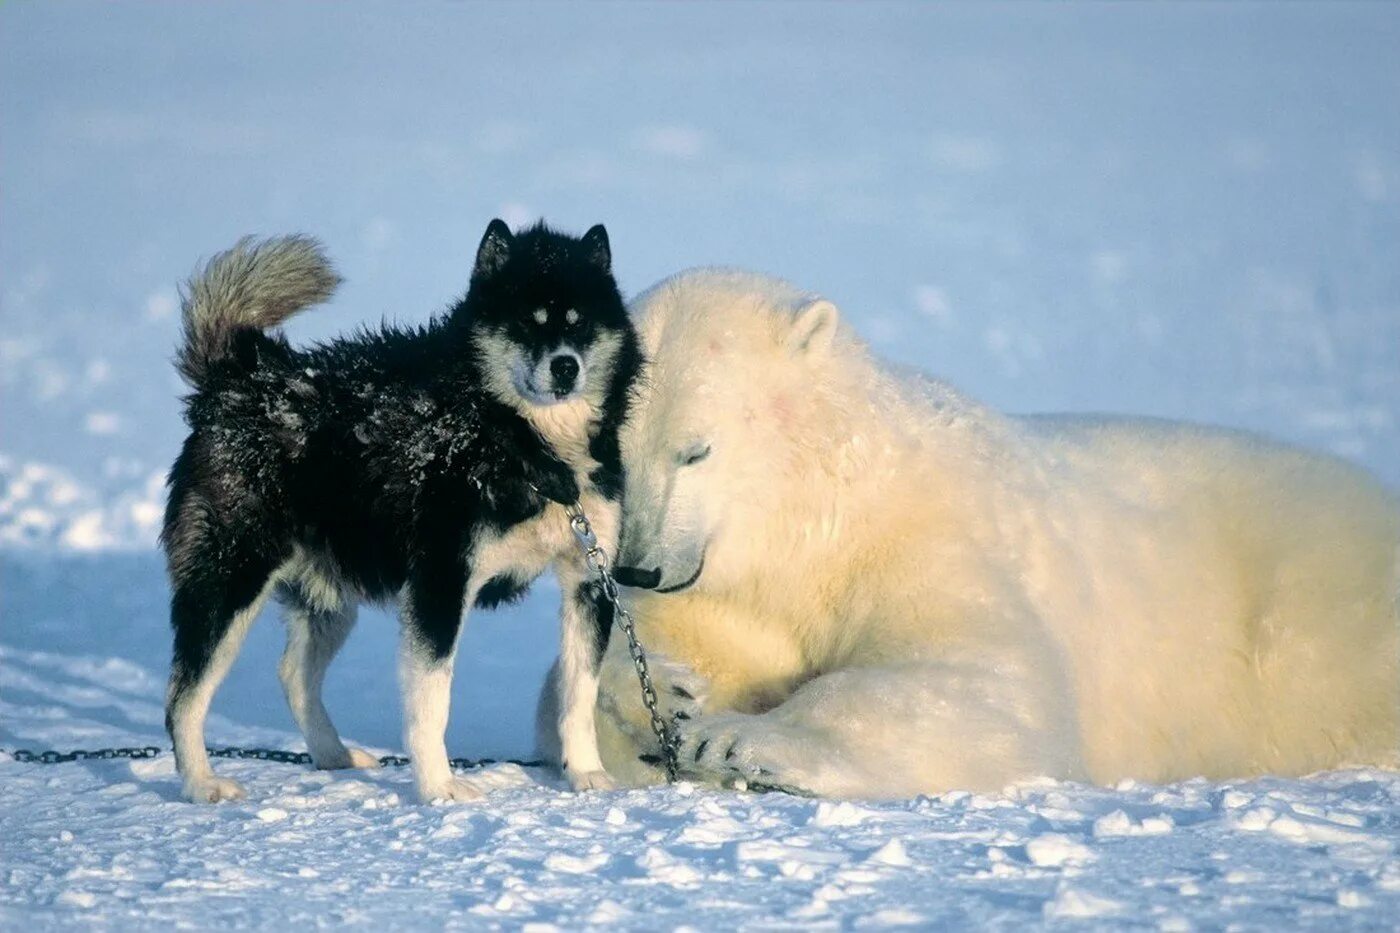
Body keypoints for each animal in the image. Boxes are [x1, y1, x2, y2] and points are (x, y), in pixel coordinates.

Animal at [162, 218, 641, 801]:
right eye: (528, 324)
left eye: (580, 323)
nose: (566, 367)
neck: (518, 443)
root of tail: (241, 379)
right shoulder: (440, 583)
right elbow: (432, 701)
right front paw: (440, 787)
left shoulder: (588, 583)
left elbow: (578, 697)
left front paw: (587, 774)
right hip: (231, 583)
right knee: (183, 697)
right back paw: (202, 783)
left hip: (327, 598)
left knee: (291, 675)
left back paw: (335, 755)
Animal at [534, 267, 1400, 790]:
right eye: (612, 453)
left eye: (697, 449)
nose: (641, 566)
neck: (817, 517)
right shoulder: (726, 586)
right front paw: (666, 696)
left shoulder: (920, 538)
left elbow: (983, 677)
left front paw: (739, 740)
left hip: (1316, 611)